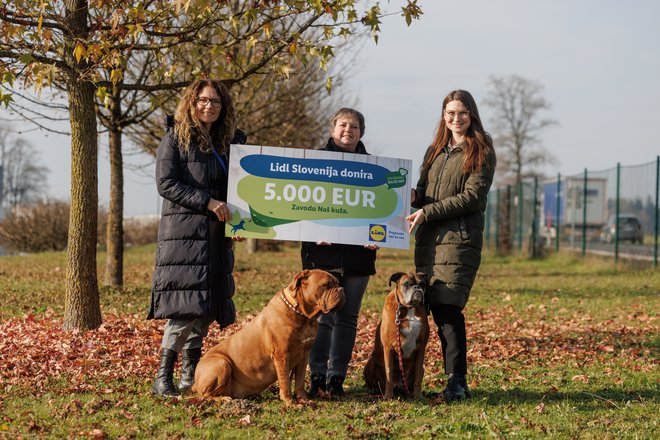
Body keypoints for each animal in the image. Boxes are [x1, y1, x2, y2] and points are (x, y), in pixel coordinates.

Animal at [192, 268, 342, 406]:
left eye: (337, 283)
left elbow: (299, 381)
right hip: (222, 363)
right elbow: (285, 382)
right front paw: (290, 402)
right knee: (204, 395)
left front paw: (303, 400)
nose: (341, 289)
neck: (303, 315)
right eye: (327, 285)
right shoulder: (281, 355)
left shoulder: (303, 355)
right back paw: (224, 399)